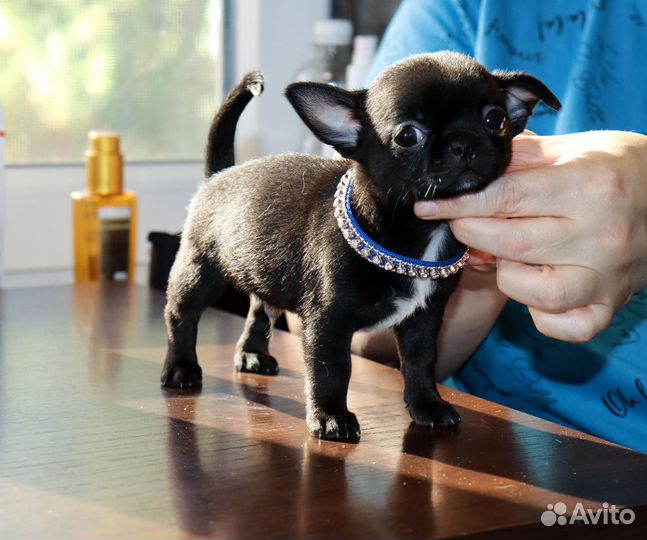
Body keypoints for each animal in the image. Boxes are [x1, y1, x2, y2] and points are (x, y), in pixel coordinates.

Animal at [159, 50, 560, 440]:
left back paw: (252, 355)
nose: (464, 143)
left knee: (259, 308)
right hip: (200, 272)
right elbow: (332, 370)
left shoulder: (424, 319)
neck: (422, 232)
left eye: (495, 119)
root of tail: (220, 174)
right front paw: (331, 417)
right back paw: (181, 367)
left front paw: (427, 405)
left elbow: (419, 362)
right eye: (408, 136)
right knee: (181, 316)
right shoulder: (328, 323)